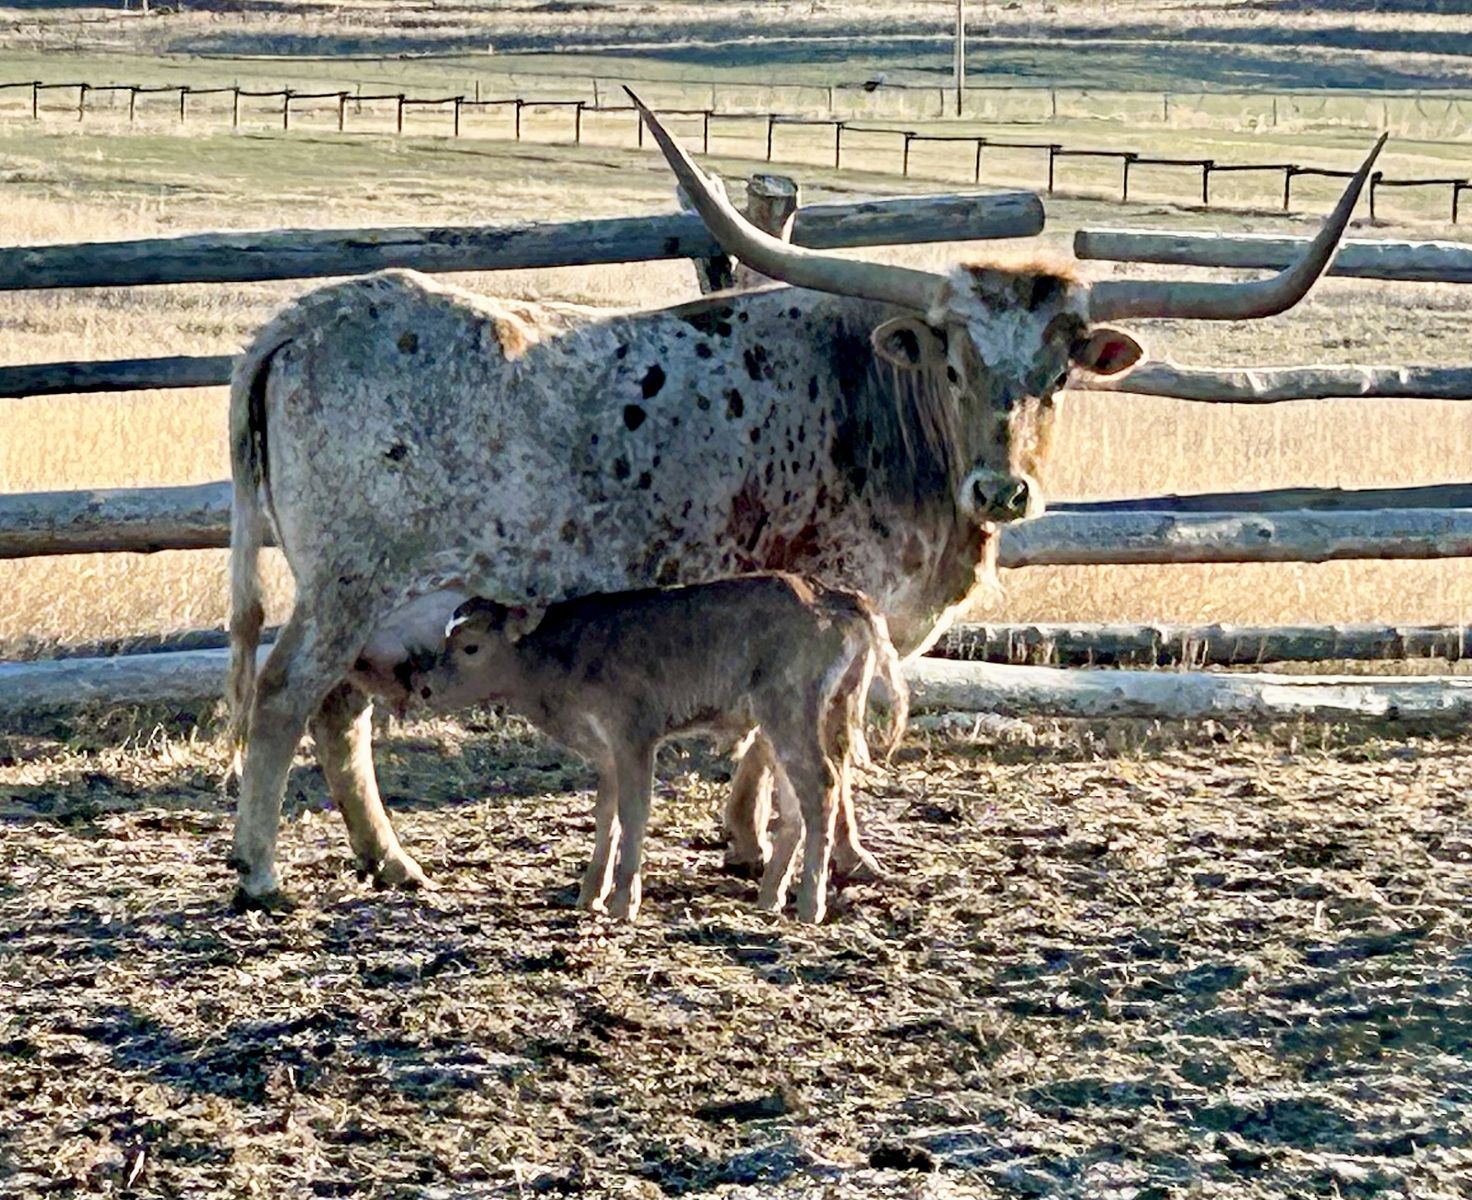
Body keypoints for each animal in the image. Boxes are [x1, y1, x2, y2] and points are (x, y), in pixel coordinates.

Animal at [404, 573, 908, 923]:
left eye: (471, 647)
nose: (425, 687)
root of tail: (829, 594)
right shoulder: (606, 751)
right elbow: (605, 817)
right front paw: (590, 895)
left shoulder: (633, 736)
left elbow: (634, 812)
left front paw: (623, 901)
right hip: (788, 722)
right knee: (797, 801)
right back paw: (769, 899)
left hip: (790, 713)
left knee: (820, 787)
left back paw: (808, 904)